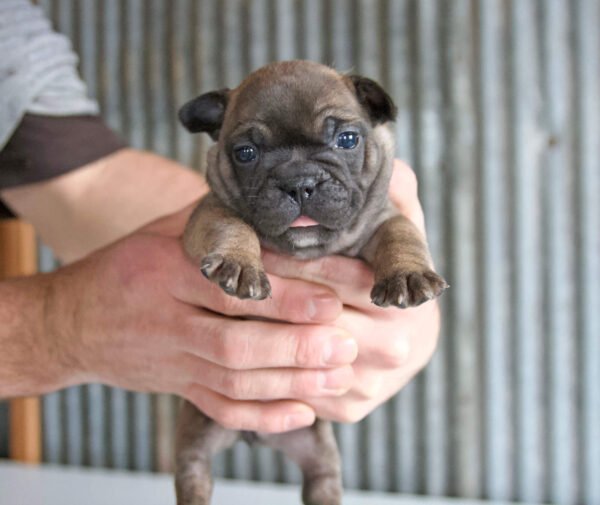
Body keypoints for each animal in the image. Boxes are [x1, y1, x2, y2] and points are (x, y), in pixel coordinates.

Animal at [173, 60, 446, 504]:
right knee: (194, 475)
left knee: (322, 480)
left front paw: (407, 274)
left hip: (318, 451)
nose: (299, 182)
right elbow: (232, 226)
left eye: (347, 140)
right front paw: (239, 263)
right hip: (196, 438)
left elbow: (400, 233)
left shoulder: (384, 218)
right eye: (245, 153)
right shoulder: (209, 212)